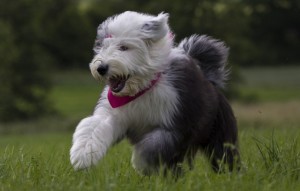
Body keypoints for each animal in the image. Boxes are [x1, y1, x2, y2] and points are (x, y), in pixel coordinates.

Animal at [69, 10, 240, 175]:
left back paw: (230, 175)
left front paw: (141, 164)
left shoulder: (175, 127)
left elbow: (153, 146)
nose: (101, 68)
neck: (142, 89)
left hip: (220, 134)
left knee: (224, 155)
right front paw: (82, 155)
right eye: (103, 46)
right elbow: (93, 126)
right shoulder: (115, 115)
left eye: (124, 47)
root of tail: (209, 79)